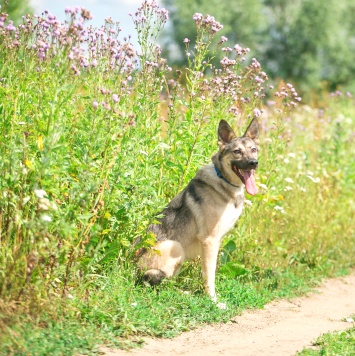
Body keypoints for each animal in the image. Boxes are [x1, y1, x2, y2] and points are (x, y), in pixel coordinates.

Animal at [138, 118, 260, 302]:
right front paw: (213, 300)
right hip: (175, 247)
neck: (223, 180)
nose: (253, 163)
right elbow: (209, 275)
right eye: (237, 151)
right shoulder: (209, 241)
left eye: (253, 150)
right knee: (154, 283)